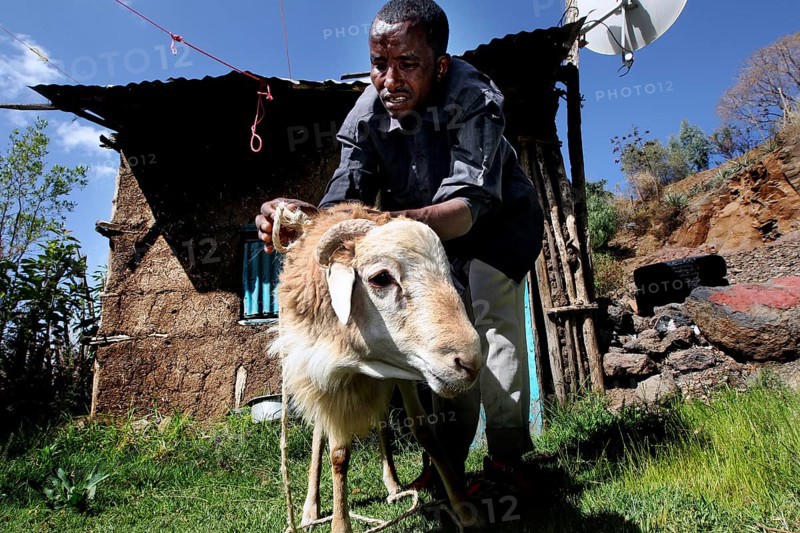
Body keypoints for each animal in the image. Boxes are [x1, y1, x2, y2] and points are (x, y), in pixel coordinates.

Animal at [272, 203, 482, 533]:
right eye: (381, 278)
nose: (470, 364)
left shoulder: (405, 368)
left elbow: (425, 432)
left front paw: (464, 509)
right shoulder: (330, 377)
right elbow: (338, 453)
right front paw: (340, 524)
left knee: (382, 420)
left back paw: (393, 485)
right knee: (319, 435)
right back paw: (309, 509)